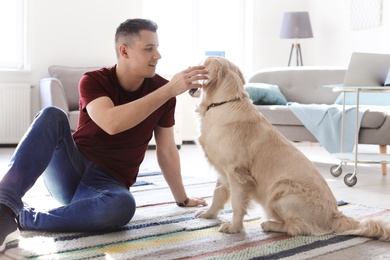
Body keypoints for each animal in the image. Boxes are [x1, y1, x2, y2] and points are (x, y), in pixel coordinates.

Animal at [191, 55, 390, 241]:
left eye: (200, 64)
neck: (223, 103)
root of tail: (334, 214)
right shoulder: (222, 169)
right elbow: (217, 195)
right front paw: (208, 214)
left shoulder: (237, 172)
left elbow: (236, 203)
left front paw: (234, 228)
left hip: (280, 189)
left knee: (298, 227)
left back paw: (269, 224)